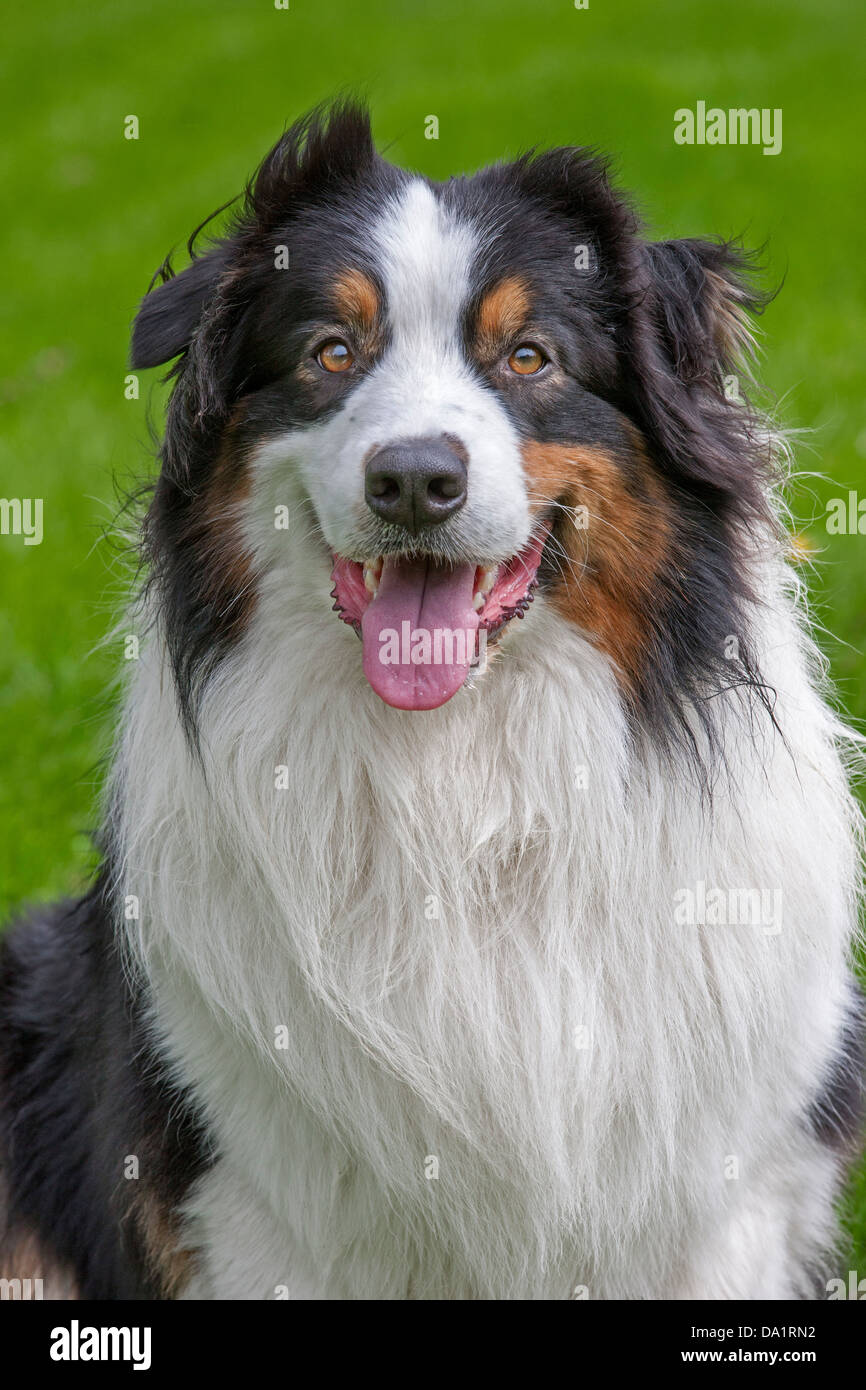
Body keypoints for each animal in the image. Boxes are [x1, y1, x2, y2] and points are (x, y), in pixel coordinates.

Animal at [1, 100, 866, 1301]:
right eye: (330, 352)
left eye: (529, 356)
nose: (414, 479)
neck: (460, 777)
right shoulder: (269, 1209)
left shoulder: (724, 1200)